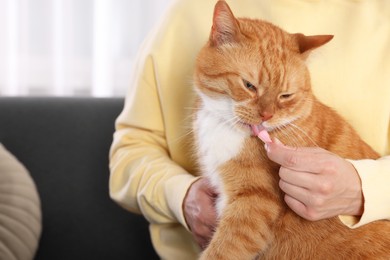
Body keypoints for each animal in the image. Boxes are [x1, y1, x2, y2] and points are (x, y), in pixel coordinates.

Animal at [192, 1, 390, 258]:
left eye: (285, 95)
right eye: (249, 86)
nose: (266, 116)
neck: (224, 124)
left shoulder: (253, 207)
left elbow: (222, 251)